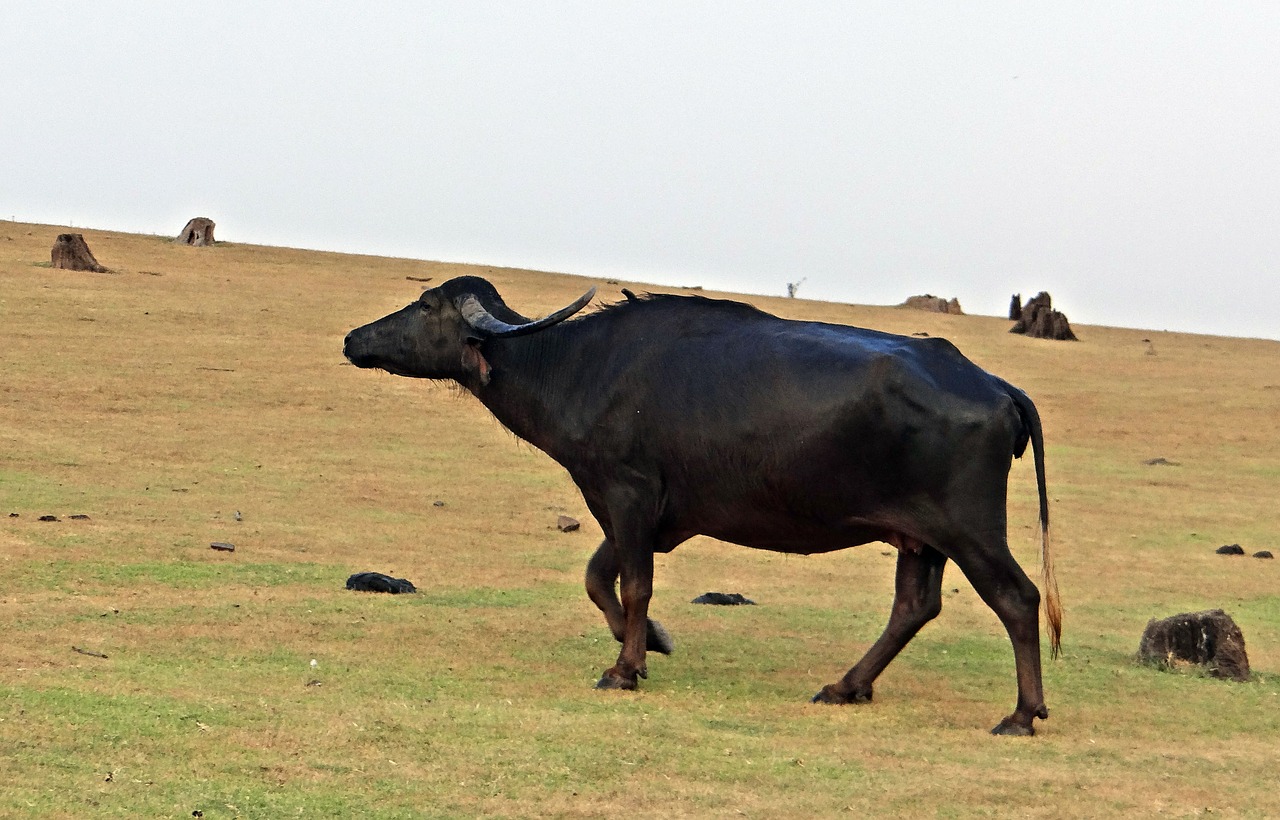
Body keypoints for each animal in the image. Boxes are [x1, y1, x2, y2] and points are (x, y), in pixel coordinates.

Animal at [345, 276, 1064, 736]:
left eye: (426, 304)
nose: (354, 338)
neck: (573, 364)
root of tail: (994, 385)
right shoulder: (645, 512)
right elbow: (597, 578)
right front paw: (652, 645)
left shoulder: (628, 496)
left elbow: (632, 585)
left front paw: (624, 668)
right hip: (921, 538)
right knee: (914, 606)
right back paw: (845, 686)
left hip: (969, 529)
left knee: (1017, 598)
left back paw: (1021, 714)